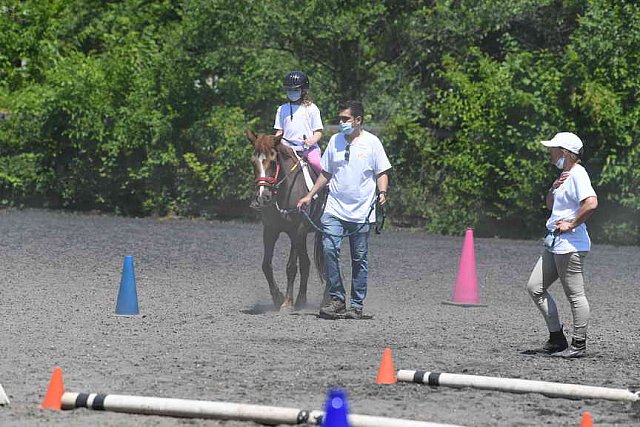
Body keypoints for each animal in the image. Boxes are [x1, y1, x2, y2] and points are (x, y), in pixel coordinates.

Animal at [245, 130, 324, 310]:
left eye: (273, 162)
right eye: (253, 162)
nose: (263, 197)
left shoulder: (296, 231)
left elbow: (291, 267)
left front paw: (287, 302)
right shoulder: (270, 231)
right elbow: (266, 265)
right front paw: (277, 297)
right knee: (307, 263)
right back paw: (301, 299)